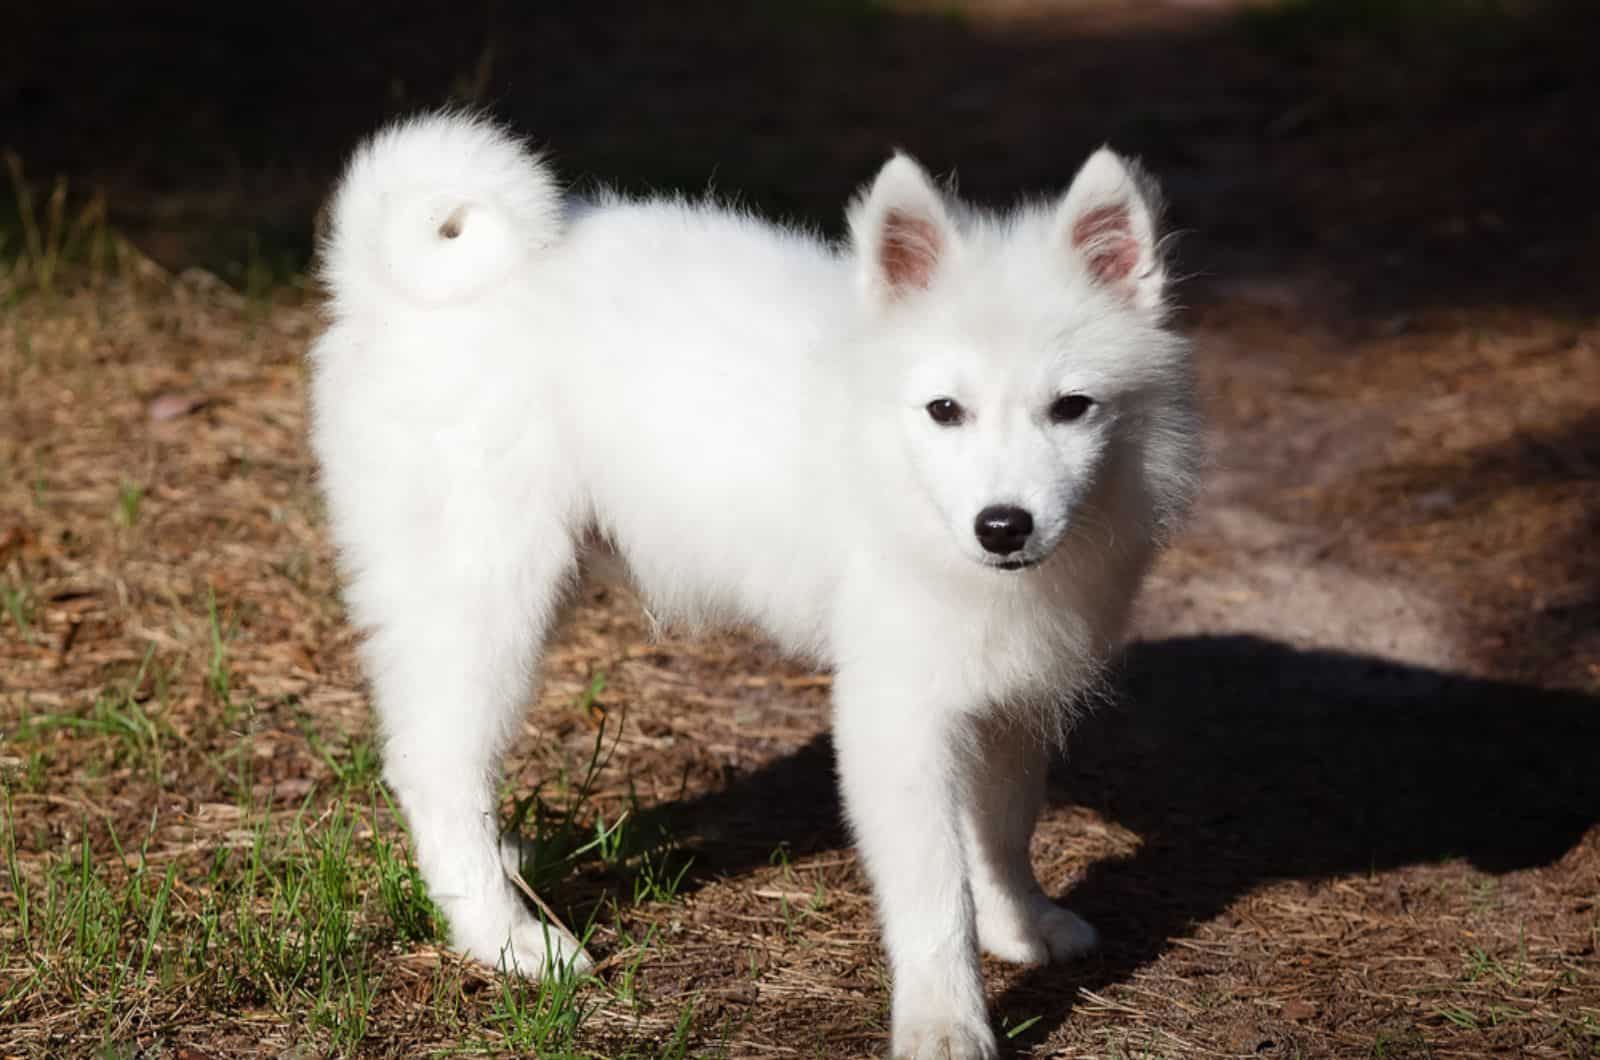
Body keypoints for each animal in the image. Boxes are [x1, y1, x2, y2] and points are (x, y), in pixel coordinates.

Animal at [308, 112, 1203, 1056]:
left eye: (1073, 408)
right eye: (944, 411)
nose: (1004, 527)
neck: (895, 468)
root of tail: (379, 288)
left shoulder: (1008, 696)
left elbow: (1000, 829)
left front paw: (1020, 926)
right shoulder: (897, 716)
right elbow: (934, 896)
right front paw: (946, 1022)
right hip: (487, 594)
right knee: (434, 765)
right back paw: (508, 937)